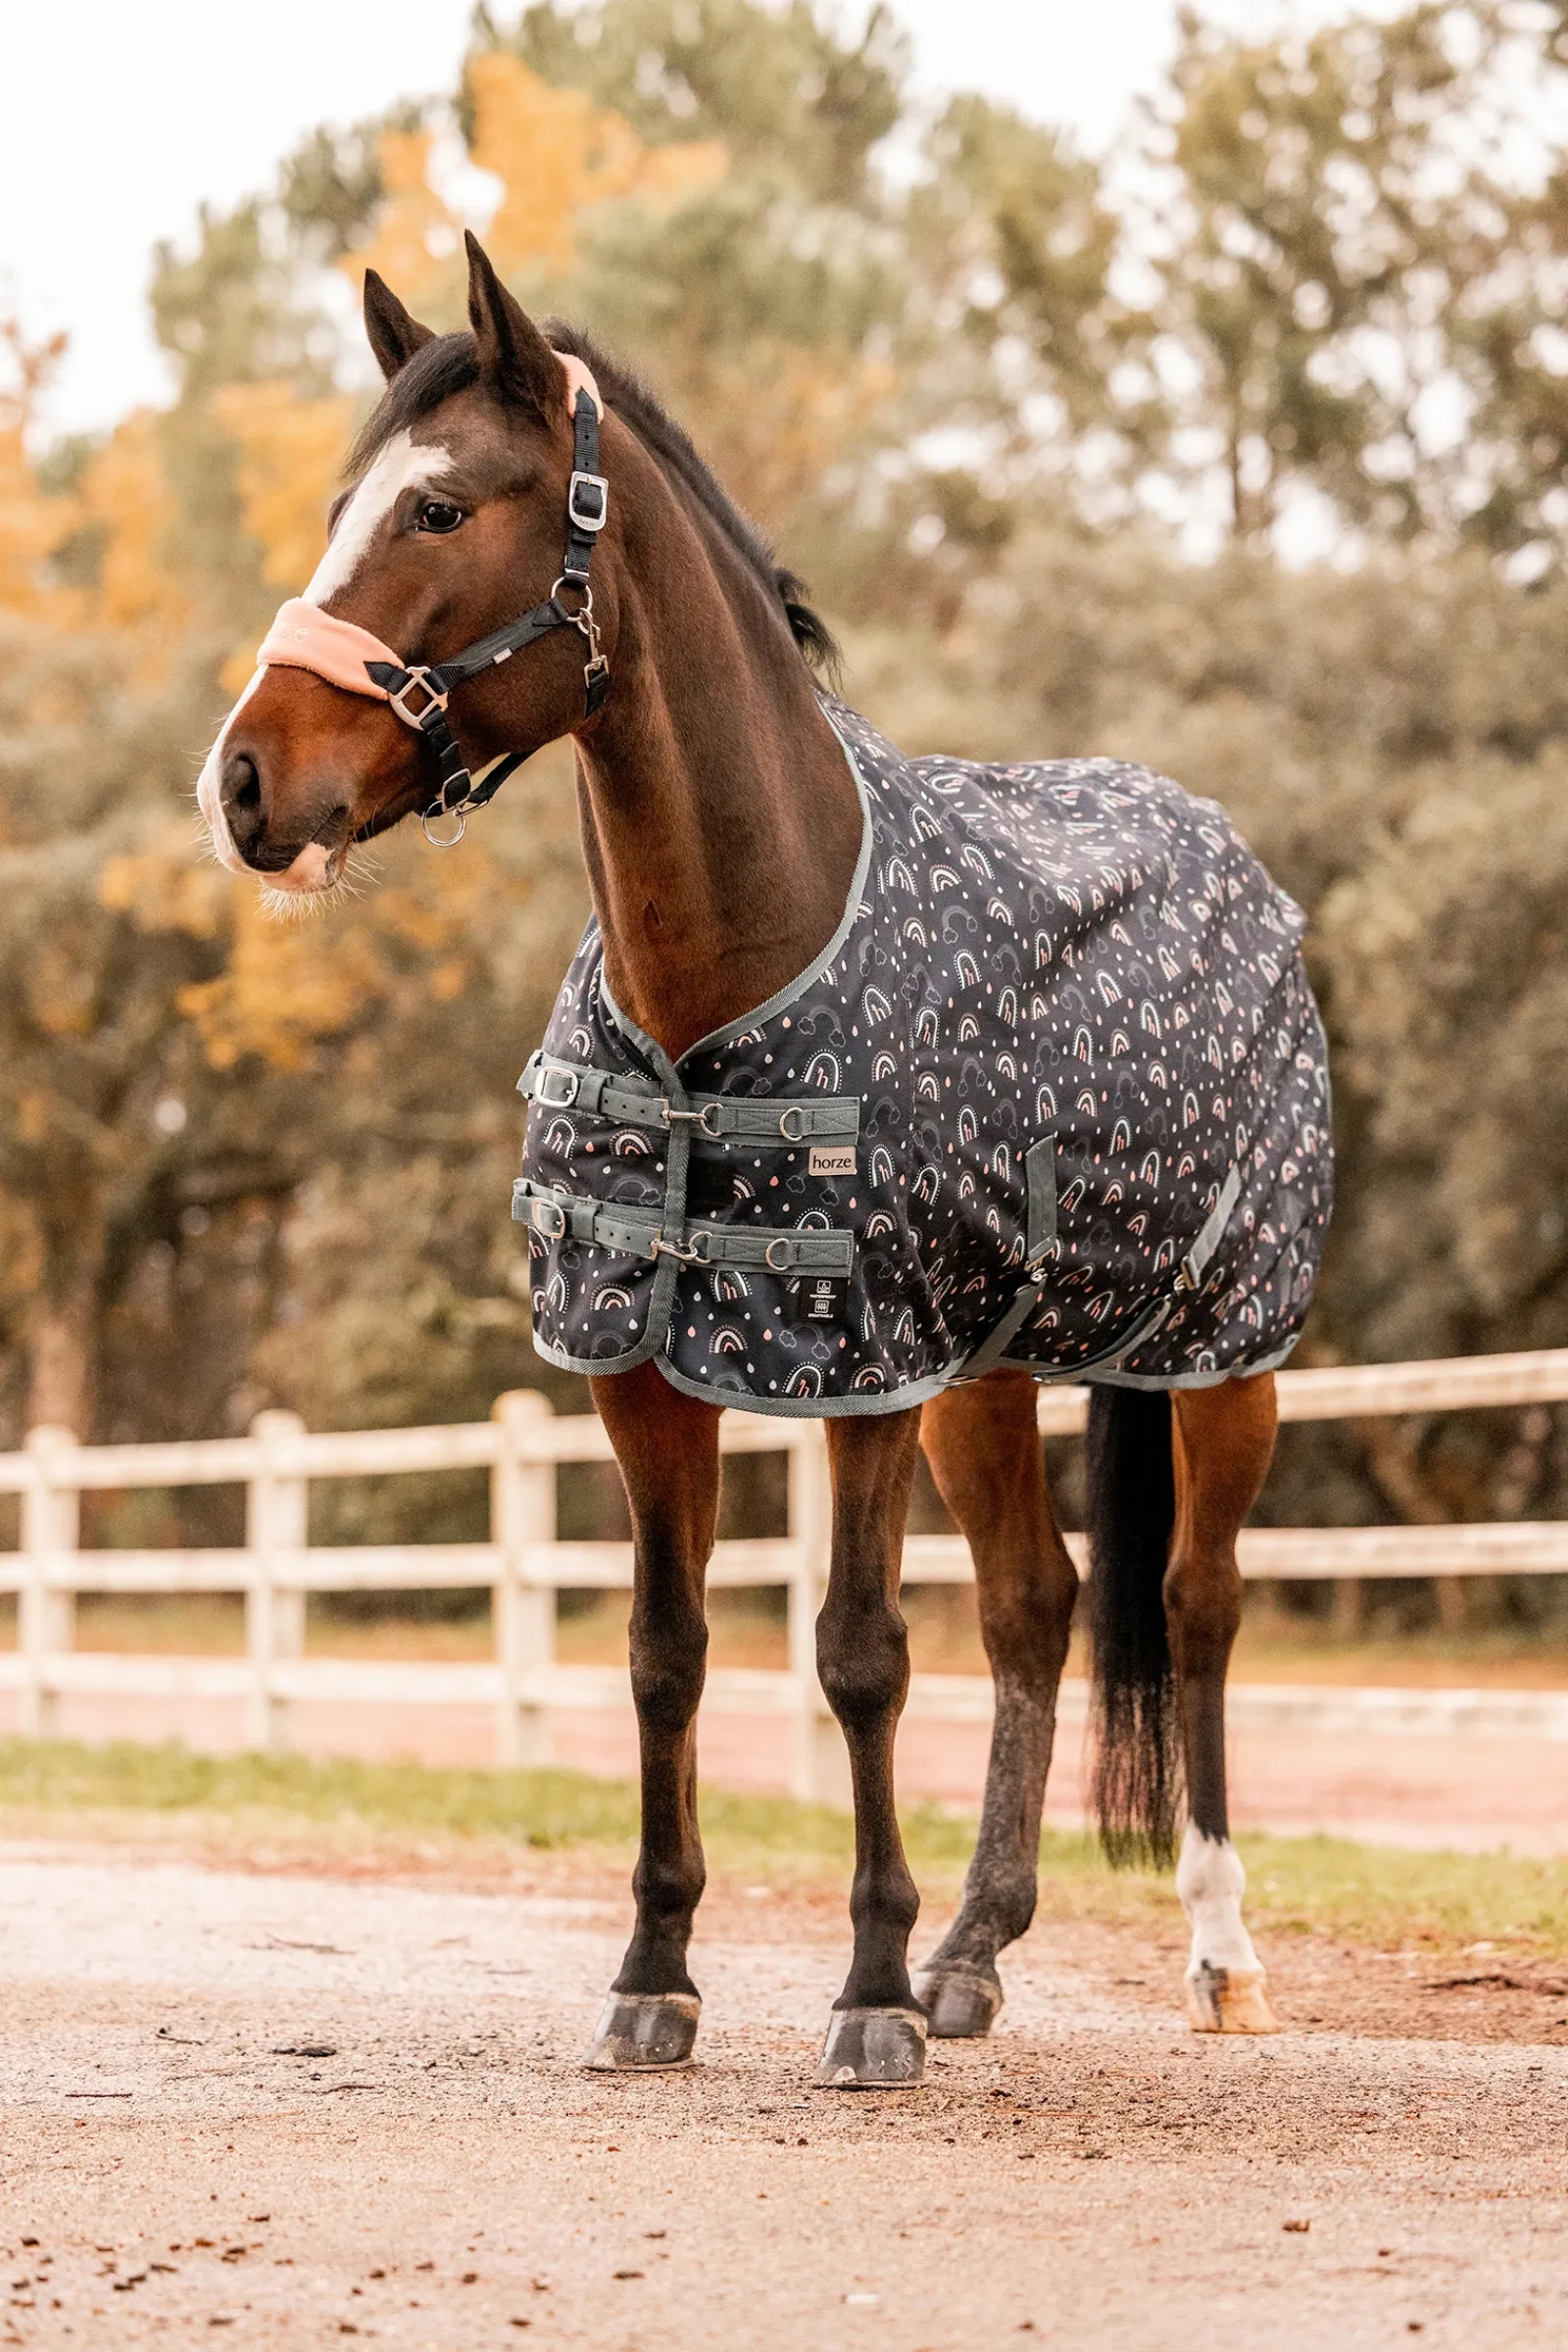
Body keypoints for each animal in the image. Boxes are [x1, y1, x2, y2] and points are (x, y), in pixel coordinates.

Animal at [197, 233, 1332, 2089]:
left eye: (438, 508)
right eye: (341, 505)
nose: (244, 785)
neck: (735, 962)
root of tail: (1222, 848)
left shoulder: (856, 1366)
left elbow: (860, 1657)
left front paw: (864, 1995)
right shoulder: (644, 1366)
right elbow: (666, 1657)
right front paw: (659, 1972)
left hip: (1221, 1355)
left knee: (1198, 1602)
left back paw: (1216, 1955)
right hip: (983, 1380)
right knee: (1037, 1608)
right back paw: (973, 1955)